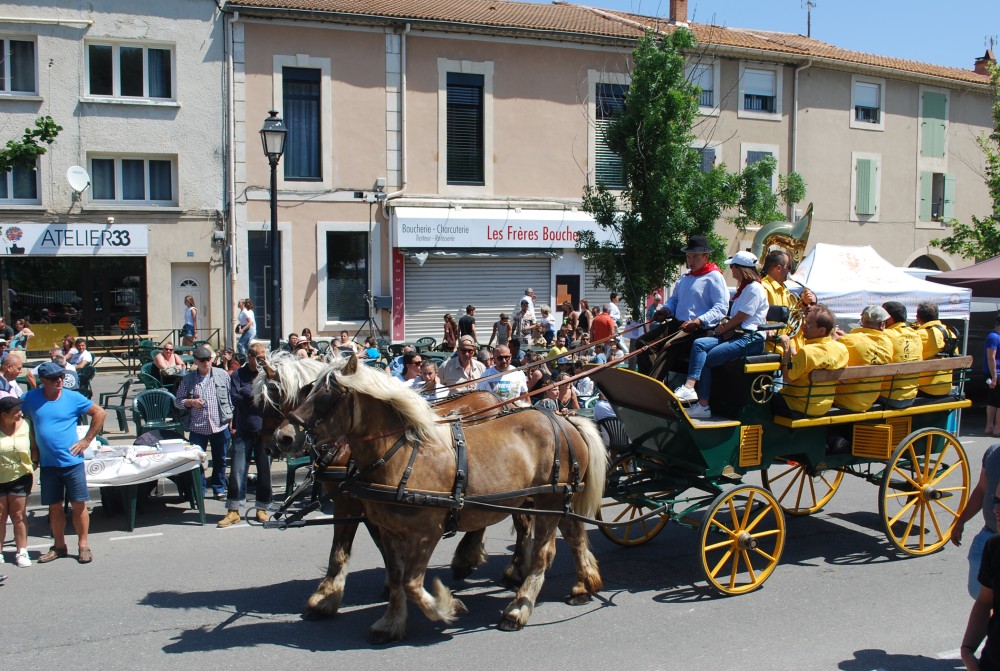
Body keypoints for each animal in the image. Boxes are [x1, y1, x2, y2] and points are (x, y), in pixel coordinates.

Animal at [270, 360, 604, 644]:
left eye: (328, 394)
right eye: (308, 389)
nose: (283, 437)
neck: (402, 453)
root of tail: (564, 420)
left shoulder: (422, 531)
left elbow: (409, 582)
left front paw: (447, 607)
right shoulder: (387, 527)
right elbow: (394, 574)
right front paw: (390, 622)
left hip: (550, 499)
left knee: (543, 552)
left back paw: (518, 608)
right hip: (553, 500)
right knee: (573, 536)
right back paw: (583, 585)